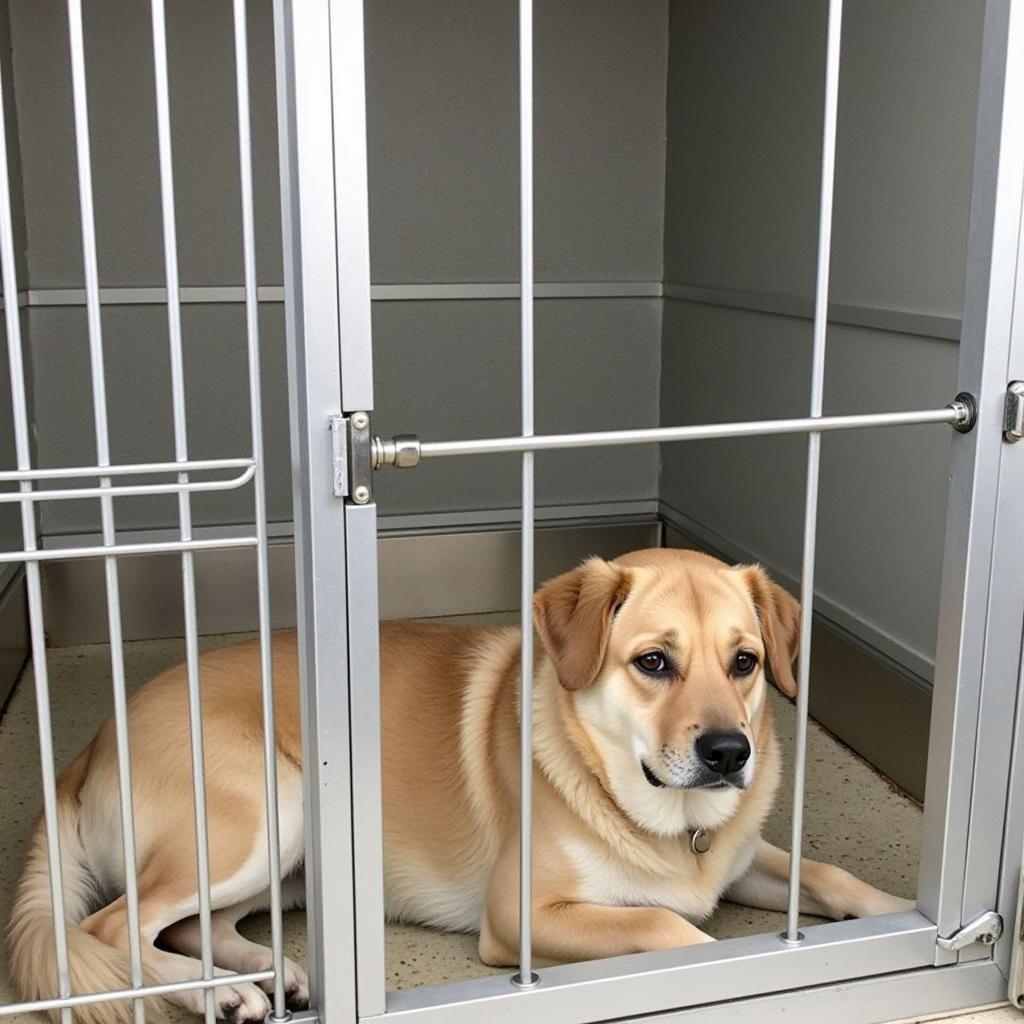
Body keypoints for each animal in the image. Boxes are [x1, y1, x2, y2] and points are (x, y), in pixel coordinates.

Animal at [9, 552, 913, 1024]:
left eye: (745, 661)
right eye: (654, 662)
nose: (729, 753)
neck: (658, 814)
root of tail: (84, 749)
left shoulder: (743, 857)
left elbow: (830, 877)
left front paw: (912, 915)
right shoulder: (525, 917)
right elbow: (672, 928)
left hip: (285, 854)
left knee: (197, 926)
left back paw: (265, 973)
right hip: (266, 810)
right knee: (111, 926)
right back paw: (221, 994)